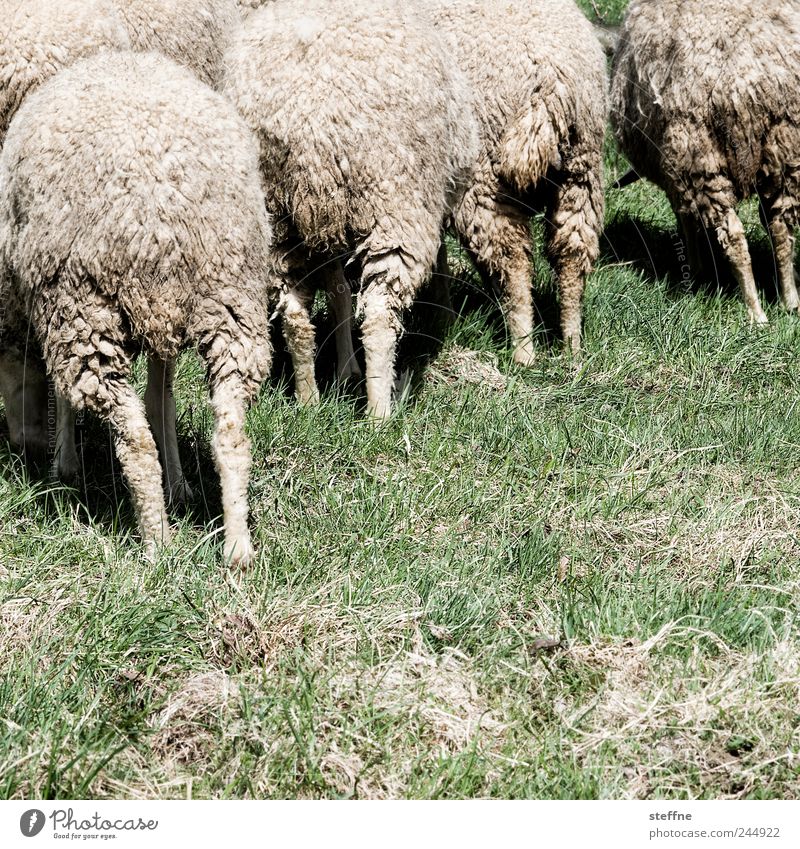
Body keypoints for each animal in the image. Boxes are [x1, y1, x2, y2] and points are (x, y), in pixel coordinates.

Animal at [0, 51, 274, 564]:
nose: (21, 448)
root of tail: (159, 212)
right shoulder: (163, 321)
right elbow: (161, 396)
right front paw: (180, 485)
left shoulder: (47, 301)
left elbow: (65, 392)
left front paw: (63, 464)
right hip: (231, 297)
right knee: (230, 428)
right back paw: (237, 547)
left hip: (85, 310)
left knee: (135, 439)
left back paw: (158, 545)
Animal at [222, 0, 478, 418]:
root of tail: (306, 122)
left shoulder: (326, 228)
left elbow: (338, 289)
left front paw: (345, 369)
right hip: (394, 203)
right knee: (379, 315)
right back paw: (379, 413)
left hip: (277, 214)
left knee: (294, 310)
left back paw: (308, 399)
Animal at [424, 0, 608, 362]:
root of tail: (548, 81)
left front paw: (442, 316)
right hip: (581, 173)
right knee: (572, 255)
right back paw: (571, 347)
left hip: (485, 181)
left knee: (513, 264)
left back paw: (523, 351)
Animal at [612, 0, 800, 324]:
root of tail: (752, 82)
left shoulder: (675, 168)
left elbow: (685, 218)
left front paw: (695, 269)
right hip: (785, 147)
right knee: (781, 225)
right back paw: (790, 300)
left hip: (700, 154)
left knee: (734, 236)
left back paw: (755, 311)